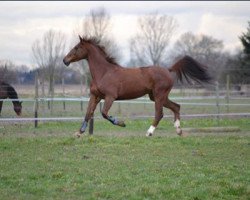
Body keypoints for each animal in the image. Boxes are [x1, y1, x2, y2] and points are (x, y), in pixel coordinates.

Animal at [63, 36, 211, 137]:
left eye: (76, 47)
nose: (65, 60)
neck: (103, 72)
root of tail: (168, 70)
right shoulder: (95, 96)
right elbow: (88, 113)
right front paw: (79, 132)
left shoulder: (110, 97)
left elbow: (104, 113)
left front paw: (121, 123)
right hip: (156, 96)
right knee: (176, 107)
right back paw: (178, 130)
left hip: (159, 95)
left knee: (160, 113)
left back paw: (149, 132)